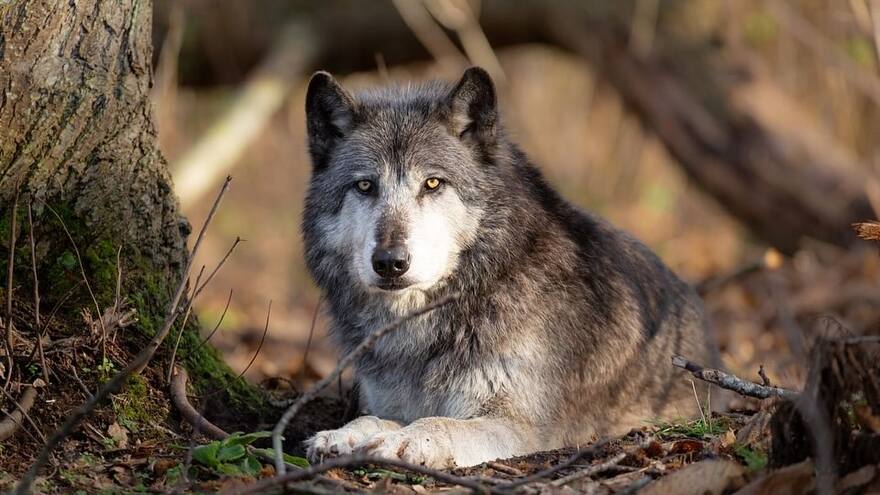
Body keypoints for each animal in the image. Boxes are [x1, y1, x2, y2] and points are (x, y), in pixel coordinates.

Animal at [300, 67, 719, 469]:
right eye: (365, 186)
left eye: (433, 183)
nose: (390, 262)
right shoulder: (389, 403)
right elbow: (372, 419)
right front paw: (342, 435)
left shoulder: (518, 426)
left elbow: (439, 422)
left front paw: (403, 441)